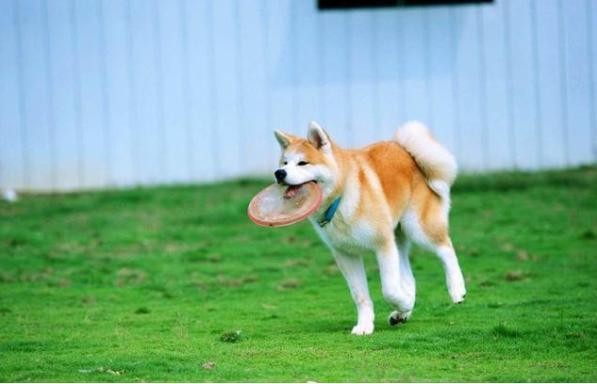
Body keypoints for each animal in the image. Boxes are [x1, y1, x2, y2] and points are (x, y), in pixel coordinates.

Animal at [274, 121, 466, 334]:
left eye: (303, 163)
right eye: (284, 163)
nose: (279, 173)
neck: (341, 199)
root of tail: (404, 150)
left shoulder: (383, 245)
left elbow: (389, 290)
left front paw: (404, 303)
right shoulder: (346, 254)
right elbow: (360, 296)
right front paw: (365, 325)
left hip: (418, 229)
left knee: (446, 249)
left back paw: (456, 289)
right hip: (397, 239)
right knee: (410, 278)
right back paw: (402, 314)